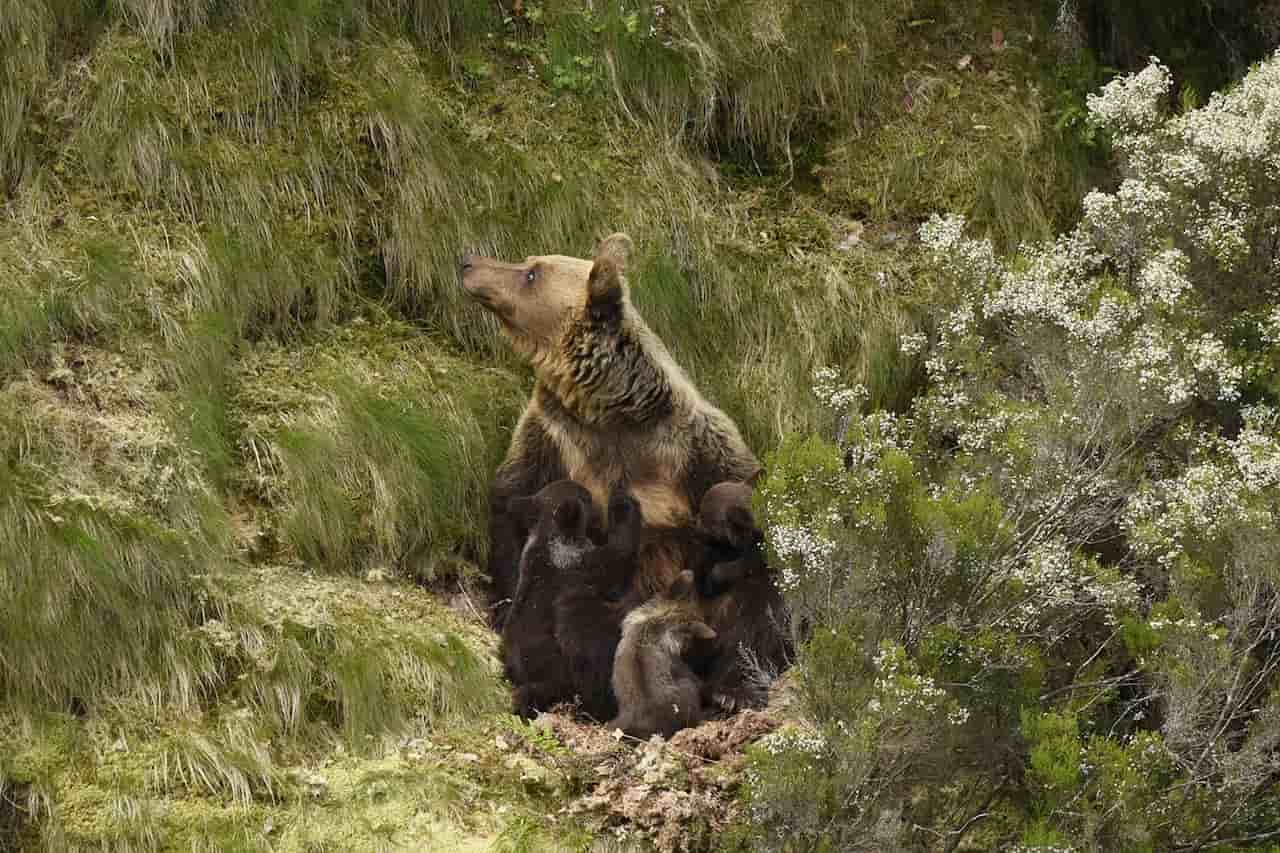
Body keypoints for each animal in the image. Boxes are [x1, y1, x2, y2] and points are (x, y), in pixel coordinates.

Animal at [460, 233, 757, 625]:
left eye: (531, 273)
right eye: (529, 263)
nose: (468, 262)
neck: (608, 413)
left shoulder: (693, 455)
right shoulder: (553, 439)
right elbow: (513, 505)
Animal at [499, 479, 640, 717]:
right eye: (586, 497)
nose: (591, 494)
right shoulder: (584, 562)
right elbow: (619, 553)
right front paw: (623, 505)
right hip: (562, 666)